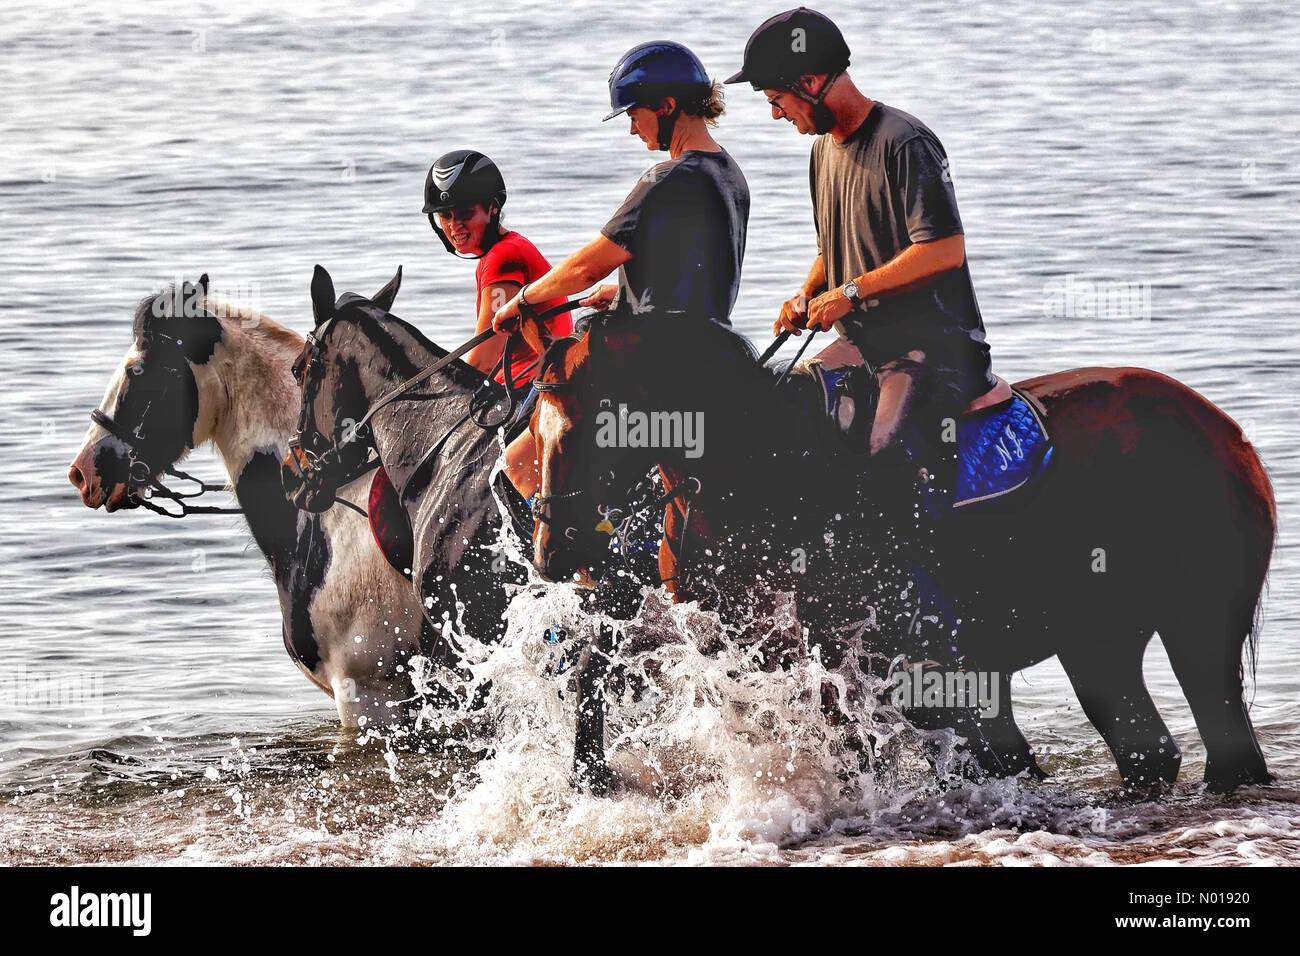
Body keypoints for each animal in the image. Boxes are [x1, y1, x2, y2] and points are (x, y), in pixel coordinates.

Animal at [522, 312, 1274, 790]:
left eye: (589, 424)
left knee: (1220, 747)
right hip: (1099, 642)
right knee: (1152, 751)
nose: (551, 549)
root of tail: (1230, 435)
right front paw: (588, 767)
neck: (760, 471)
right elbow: (600, 661)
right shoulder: (736, 641)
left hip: (1197, 627)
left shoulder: (860, 662)